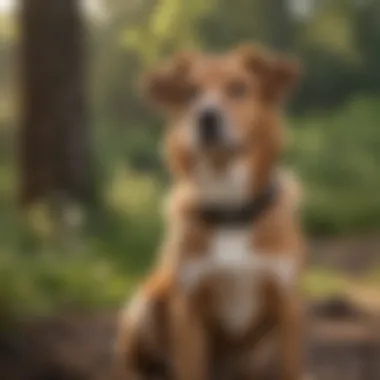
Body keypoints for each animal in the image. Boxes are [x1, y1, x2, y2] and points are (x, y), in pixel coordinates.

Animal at [117, 43, 308, 380]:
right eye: (190, 92)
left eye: (239, 88)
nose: (206, 117)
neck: (229, 207)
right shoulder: (188, 310)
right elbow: (190, 368)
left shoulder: (287, 305)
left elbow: (290, 368)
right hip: (143, 303)